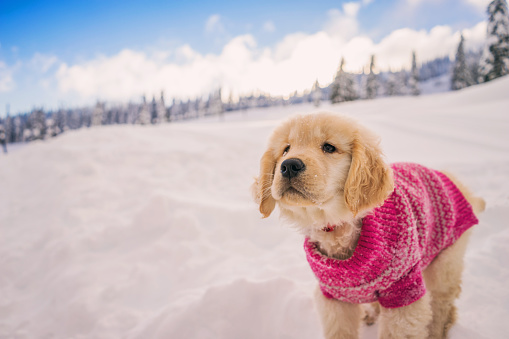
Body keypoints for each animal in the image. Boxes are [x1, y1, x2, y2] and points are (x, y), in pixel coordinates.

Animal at [254, 113, 484, 338]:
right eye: (286, 149)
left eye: (329, 147)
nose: (289, 165)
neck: (337, 226)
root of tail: (451, 179)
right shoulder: (335, 299)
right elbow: (340, 332)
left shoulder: (403, 292)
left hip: (445, 261)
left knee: (441, 305)